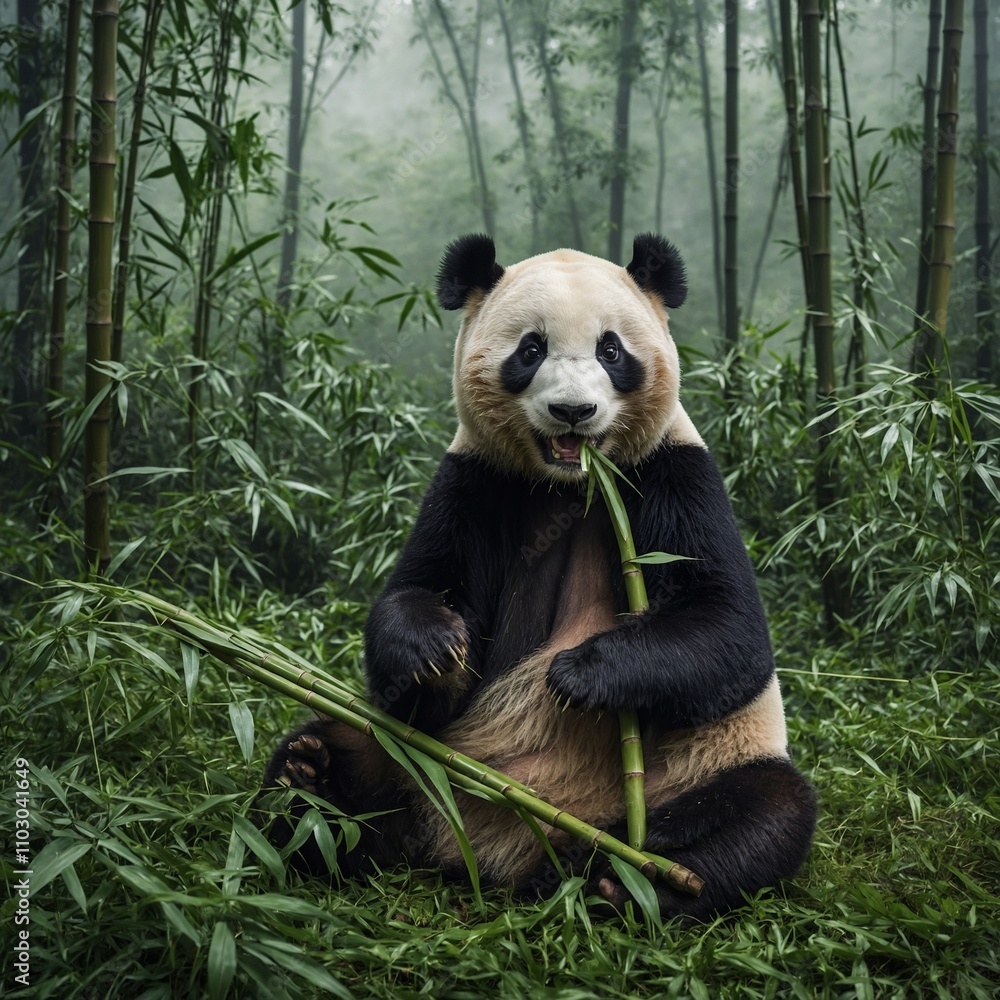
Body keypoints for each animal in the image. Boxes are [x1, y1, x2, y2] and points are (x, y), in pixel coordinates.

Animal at [264, 233, 817, 920]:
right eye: (531, 350)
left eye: (612, 350)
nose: (573, 411)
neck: (572, 485)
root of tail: (500, 844)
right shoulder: (478, 481)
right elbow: (422, 593)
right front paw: (435, 650)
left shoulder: (672, 469)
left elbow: (727, 625)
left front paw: (578, 674)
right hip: (413, 756)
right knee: (347, 754)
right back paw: (310, 780)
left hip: (703, 765)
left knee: (765, 814)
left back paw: (634, 882)